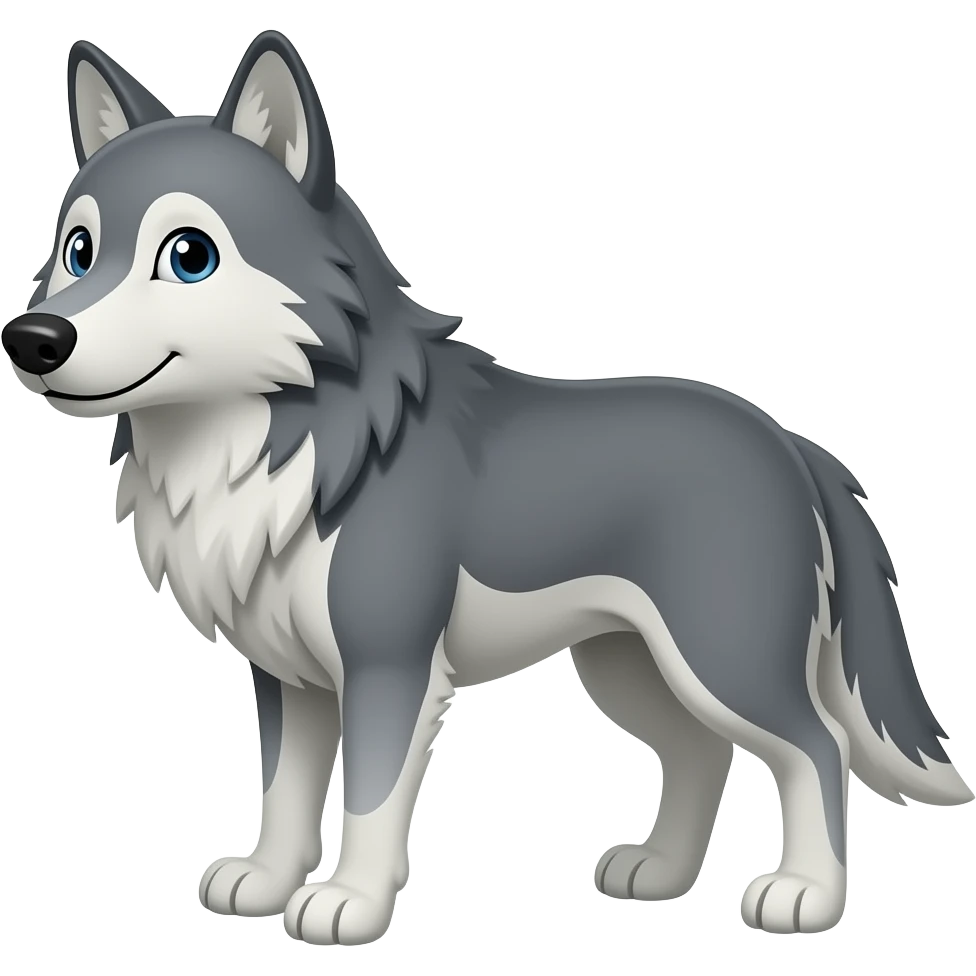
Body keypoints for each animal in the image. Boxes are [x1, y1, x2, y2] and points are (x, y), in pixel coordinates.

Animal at [2, 29, 970, 946]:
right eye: (77, 250)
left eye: (189, 255)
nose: (33, 338)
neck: (283, 442)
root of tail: (790, 441)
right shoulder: (288, 676)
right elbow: (283, 791)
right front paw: (267, 884)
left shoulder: (387, 664)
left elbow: (369, 799)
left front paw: (348, 905)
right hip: (629, 667)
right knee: (702, 754)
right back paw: (658, 873)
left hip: (720, 656)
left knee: (817, 745)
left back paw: (804, 895)